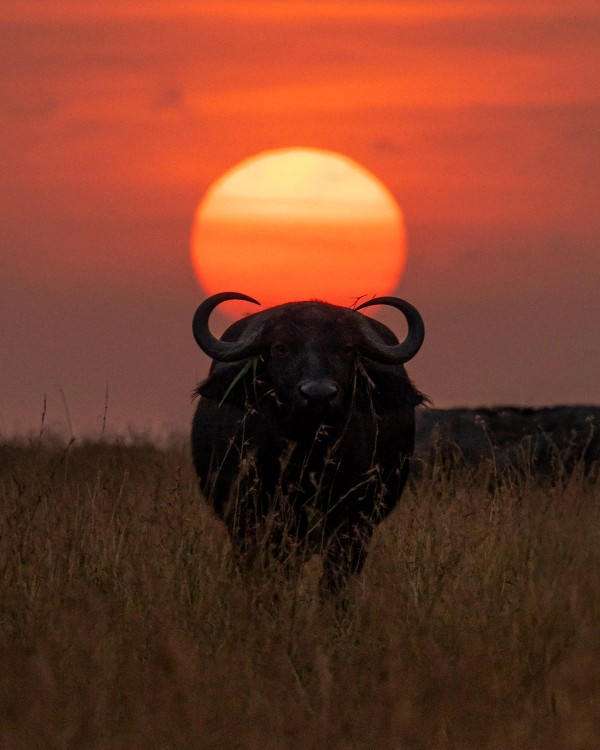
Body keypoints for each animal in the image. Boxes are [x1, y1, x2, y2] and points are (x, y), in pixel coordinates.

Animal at [191, 292, 425, 594]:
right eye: (281, 348)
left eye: (347, 349)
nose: (318, 394)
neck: (306, 459)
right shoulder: (253, 520)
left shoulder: (353, 526)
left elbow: (335, 584)